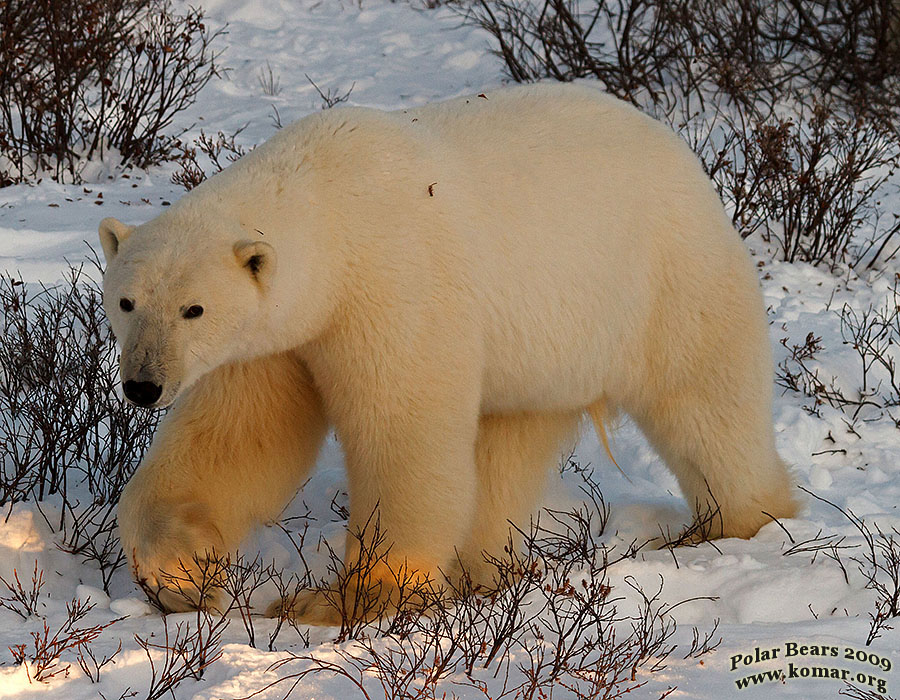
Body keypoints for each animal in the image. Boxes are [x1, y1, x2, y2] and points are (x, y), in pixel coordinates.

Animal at [102, 83, 800, 624]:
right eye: (128, 301)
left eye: (193, 309)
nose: (142, 385)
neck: (330, 206)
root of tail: (685, 158)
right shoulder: (277, 338)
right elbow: (240, 437)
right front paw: (182, 573)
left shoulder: (393, 284)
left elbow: (404, 433)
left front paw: (347, 598)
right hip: (545, 350)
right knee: (510, 444)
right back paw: (484, 570)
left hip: (665, 281)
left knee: (704, 404)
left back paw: (733, 523)